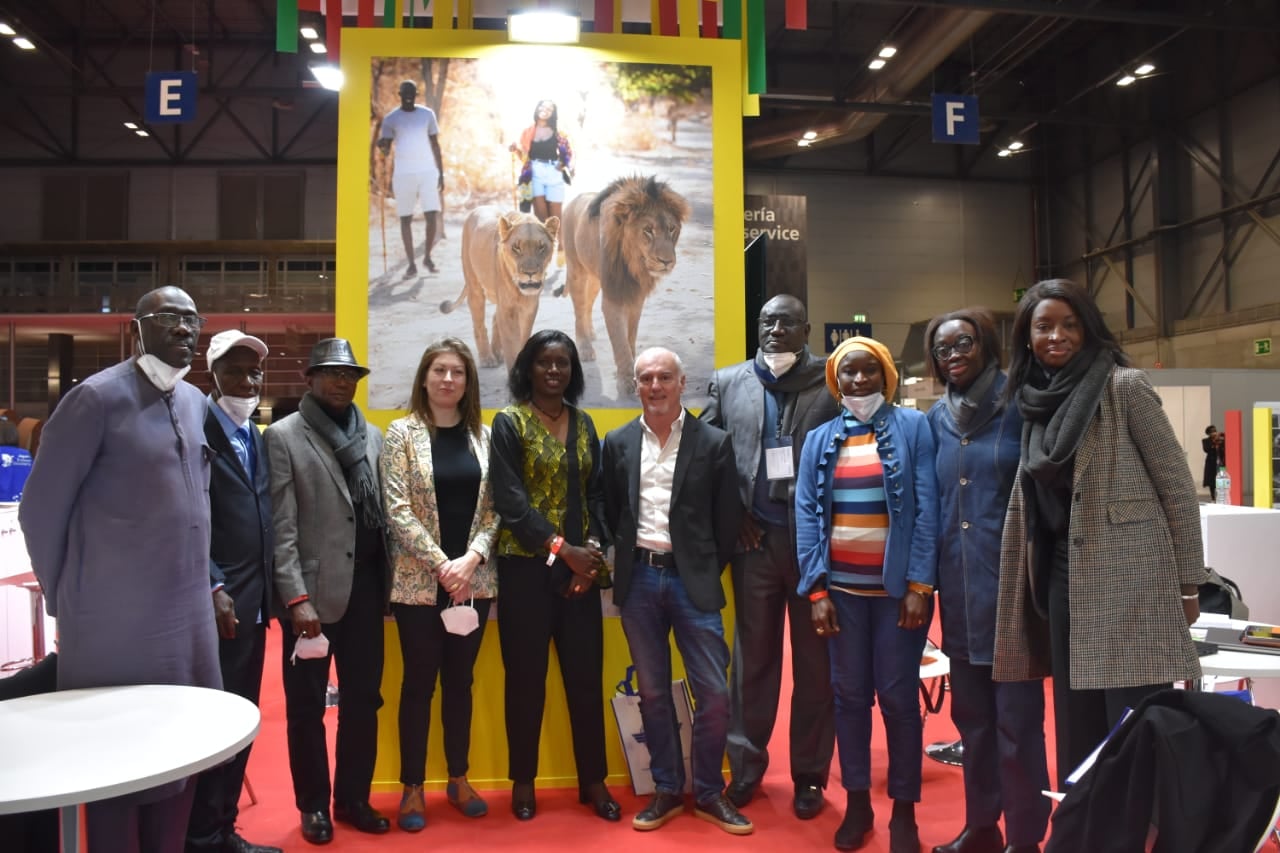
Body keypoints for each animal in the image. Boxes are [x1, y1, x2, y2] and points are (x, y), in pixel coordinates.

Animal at [439, 207, 559, 370]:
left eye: (541, 247)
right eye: (516, 247)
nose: (530, 273)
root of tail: (477, 209)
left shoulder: (529, 307)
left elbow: (523, 337)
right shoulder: (508, 309)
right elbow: (511, 345)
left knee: (496, 317)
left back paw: (496, 352)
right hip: (474, 286)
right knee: (479, 324)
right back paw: (487, 358)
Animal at [562, 175, 691, 397]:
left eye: (672, 229)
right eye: (648, 230)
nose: (666, 261)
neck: (634, 265)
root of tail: (573, 200)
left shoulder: (636, 297)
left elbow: (630, 336)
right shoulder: (614, 295)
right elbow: (620, 341)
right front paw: (625, 380)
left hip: (595, 279)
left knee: (587, 304)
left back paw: (591, 332)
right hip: (576, 270)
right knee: (579, 308)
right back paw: (585, 346)